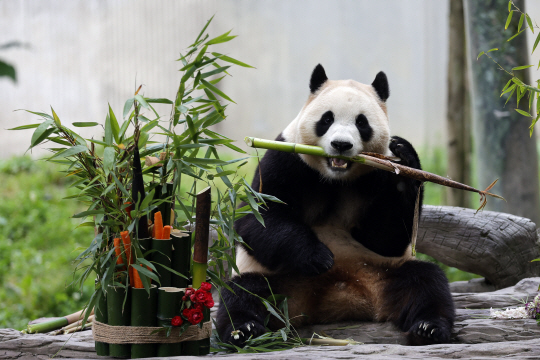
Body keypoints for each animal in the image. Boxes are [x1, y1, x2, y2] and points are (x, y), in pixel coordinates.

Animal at [217, 64, 454, 346]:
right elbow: (257, 217)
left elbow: (386, 238)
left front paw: (404, 157)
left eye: (362, 122)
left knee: (425, 281)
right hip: (276, 280)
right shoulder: (286, 159)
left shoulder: (376, 173)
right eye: (327, 119)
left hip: (383, 271)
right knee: (243, 293)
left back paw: (429, 327)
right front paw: (318, 257)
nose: (341, 144)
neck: (334, 177)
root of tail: (337, 296)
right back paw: (244, 330)